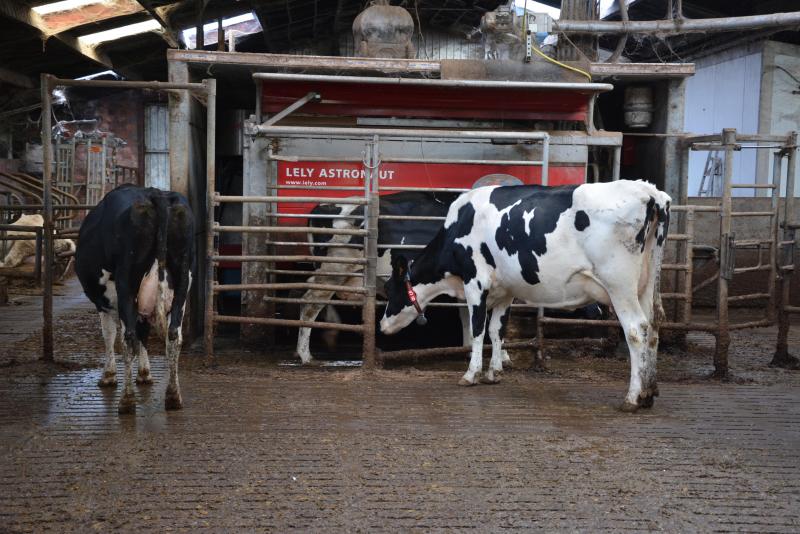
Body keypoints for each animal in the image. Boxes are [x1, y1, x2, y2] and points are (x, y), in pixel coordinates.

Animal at [76, 186, 195, 416]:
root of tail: (155, 194)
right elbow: (143, 332)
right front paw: (145, 372)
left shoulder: (104, 302)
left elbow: (109, 334)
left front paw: (109, 375)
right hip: (183, 284)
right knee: (174, 336)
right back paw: (173, 397)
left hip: (127, 285)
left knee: (129, 338)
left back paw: (127, 401)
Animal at [294, 191, 482, 366]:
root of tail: (324, 206)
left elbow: (467, 316)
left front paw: (469, 350)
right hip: (334, 269)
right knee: (311, 303)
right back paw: (305, 355)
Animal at [382, 182, 668, 412]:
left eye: (389, 291)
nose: (382, 325)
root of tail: (650, 192)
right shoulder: (506, 290)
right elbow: (497, 330)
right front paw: (494, 372)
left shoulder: (475, 282)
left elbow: (478, 329)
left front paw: (471, 374)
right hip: (647, 283)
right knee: (654, 326)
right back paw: (649, 392)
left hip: (619, 285)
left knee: (637, 330)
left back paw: (633, 398)